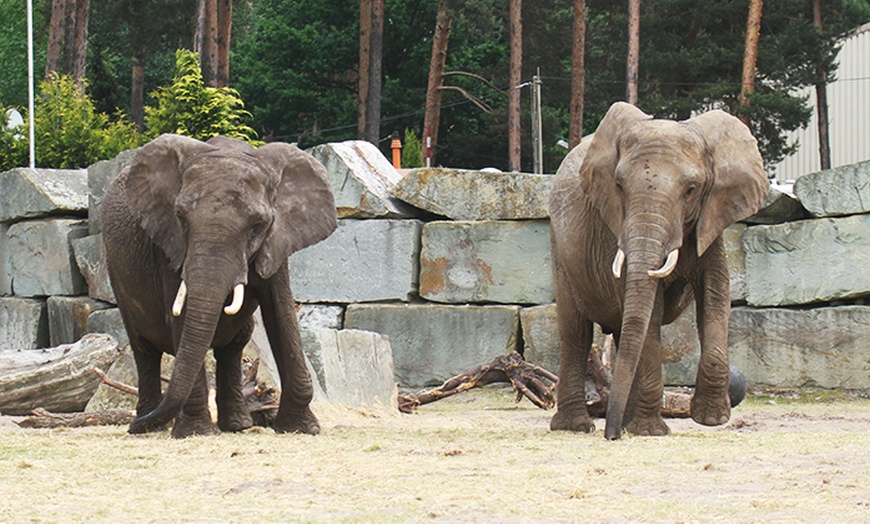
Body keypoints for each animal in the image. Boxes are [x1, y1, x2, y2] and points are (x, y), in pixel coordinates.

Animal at [100, 133, 336, 436]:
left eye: (258, 224)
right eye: (180, 217)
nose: (132, 427)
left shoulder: (277, 240)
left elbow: (281, 314)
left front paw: (302, 428)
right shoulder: (169, 245)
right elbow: (182, 315)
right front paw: (195, 433)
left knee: (234, 346)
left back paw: (237, 425)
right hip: (116, 272)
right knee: (144, 351)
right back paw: (153, 425)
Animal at [552, 101, 768, 438]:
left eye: (691, 189)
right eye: (618, 186)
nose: (611, 437)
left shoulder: (711, 220)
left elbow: (716, 295)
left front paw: (711, 418)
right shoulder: (613, 230)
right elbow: (650, 310)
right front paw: (651, 431)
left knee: (622, 333)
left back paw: (624, 423)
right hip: (561, 253)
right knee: (576, 333)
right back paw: (577, 426)